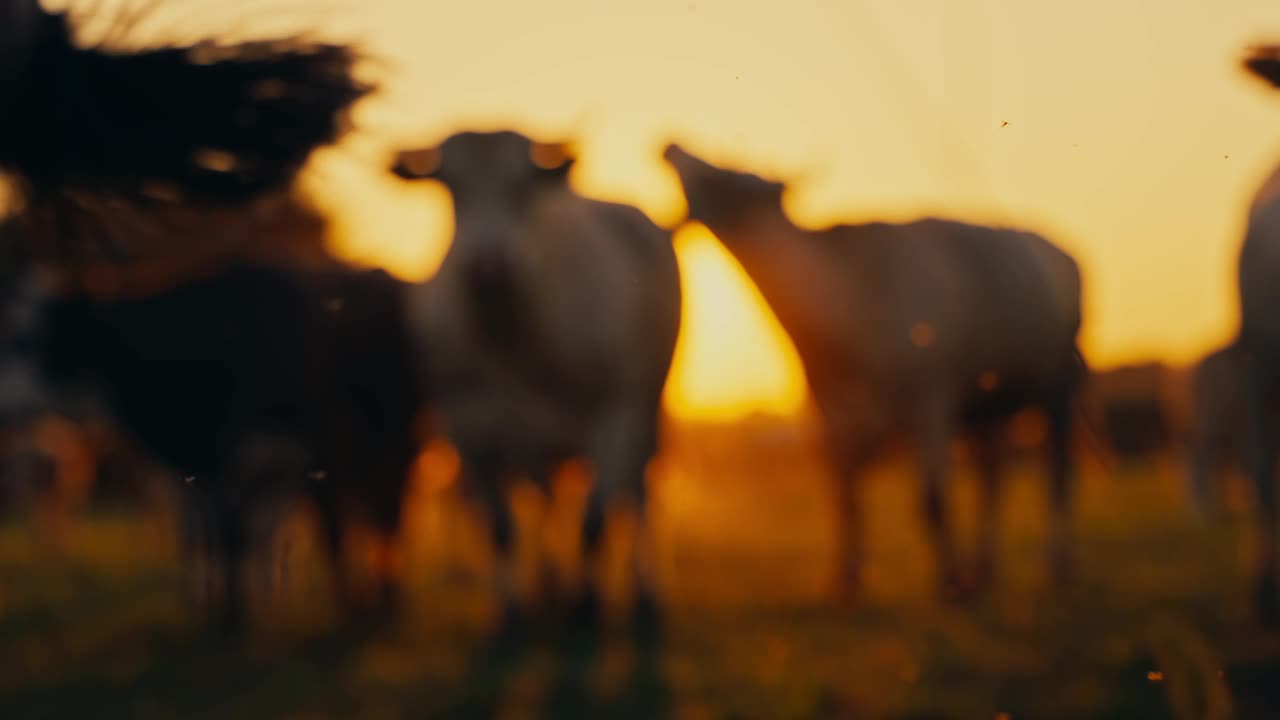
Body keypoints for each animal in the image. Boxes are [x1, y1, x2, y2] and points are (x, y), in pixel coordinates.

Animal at [394, 131, 686, 630]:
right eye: (450, 186)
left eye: (521, 188)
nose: (487, 266)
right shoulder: (467, 430)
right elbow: (501, 525)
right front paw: (513, 610)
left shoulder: (614, 418)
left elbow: (594, 520)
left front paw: (587, 603)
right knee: (551, 496)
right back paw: (549, 585)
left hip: (646, 413)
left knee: (635, 494)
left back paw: (643, 592)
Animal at [665, 142, 1085, 602]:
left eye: (725, 172)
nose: (670, 145)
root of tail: (1064, 253)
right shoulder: (830, 415)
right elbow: (845, 495)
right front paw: (845, 579)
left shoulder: (932, 396)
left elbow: (932, 497)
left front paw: (949, 581)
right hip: (989, 406)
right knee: (992, 474)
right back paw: (984, 569)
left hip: (1057, 384)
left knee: (1058, 469)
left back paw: (1057, 564)